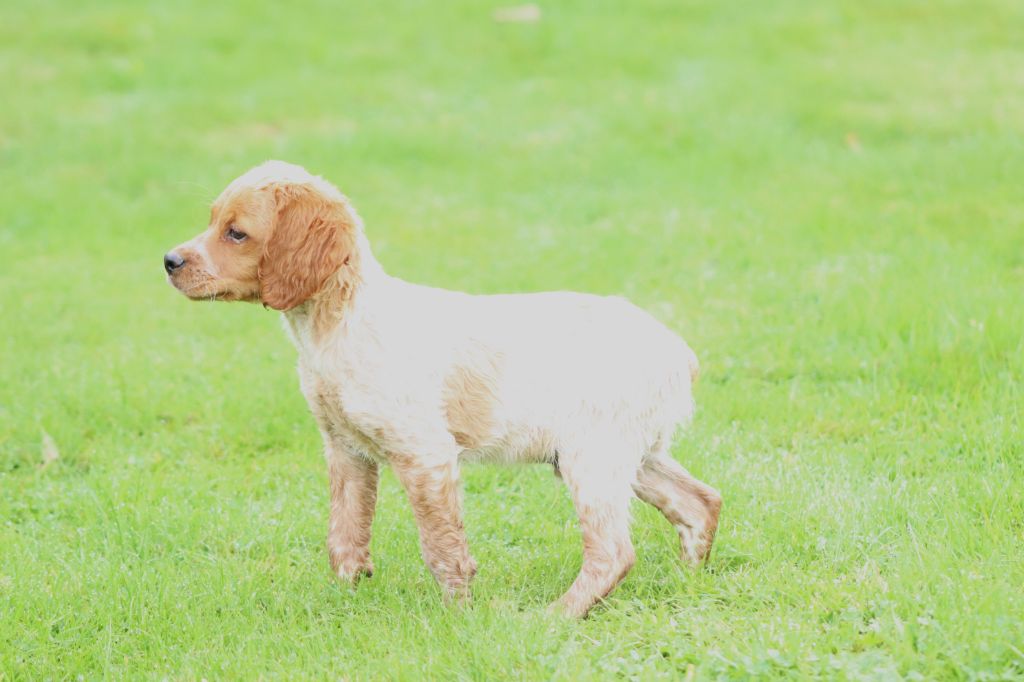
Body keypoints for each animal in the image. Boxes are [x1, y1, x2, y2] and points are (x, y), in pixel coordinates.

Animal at [161, 160, 720, 614]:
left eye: (236, 233)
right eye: (212, 221)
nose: (169, 261)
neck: (338, 323)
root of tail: (676, 349)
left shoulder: (424, 454)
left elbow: (441, 548)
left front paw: (459, 616)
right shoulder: (345, 450)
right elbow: (344, 536)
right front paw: (342, 603)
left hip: (593, 457)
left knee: (613, 552)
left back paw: (553, 617)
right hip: (625, 454)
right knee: (700, 502)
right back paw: (686, 582)